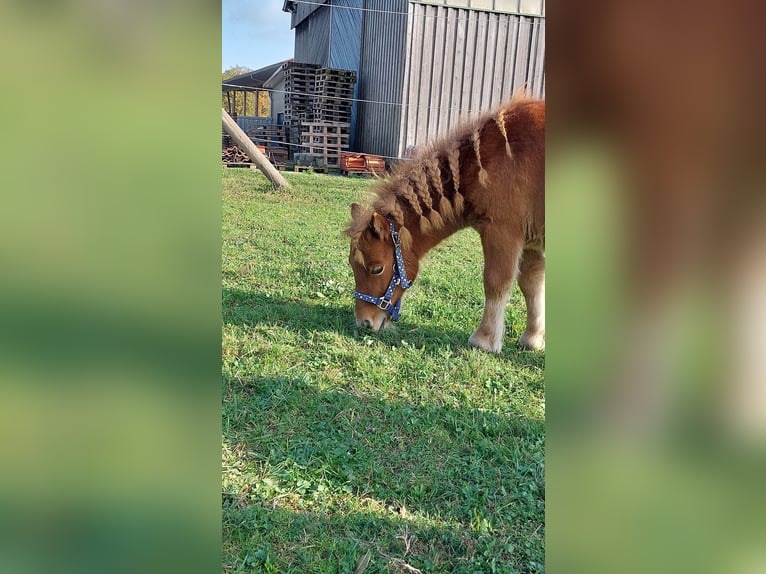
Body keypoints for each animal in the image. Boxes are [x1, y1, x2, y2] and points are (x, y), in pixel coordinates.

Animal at [348, 97, 544, 354]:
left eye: (376, 269)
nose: (364, 322)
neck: (486, 163)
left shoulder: (502, 232)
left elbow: (496, 282)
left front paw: (485, 339)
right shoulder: (532, 241)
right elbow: (532, 285)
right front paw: (533, 338)